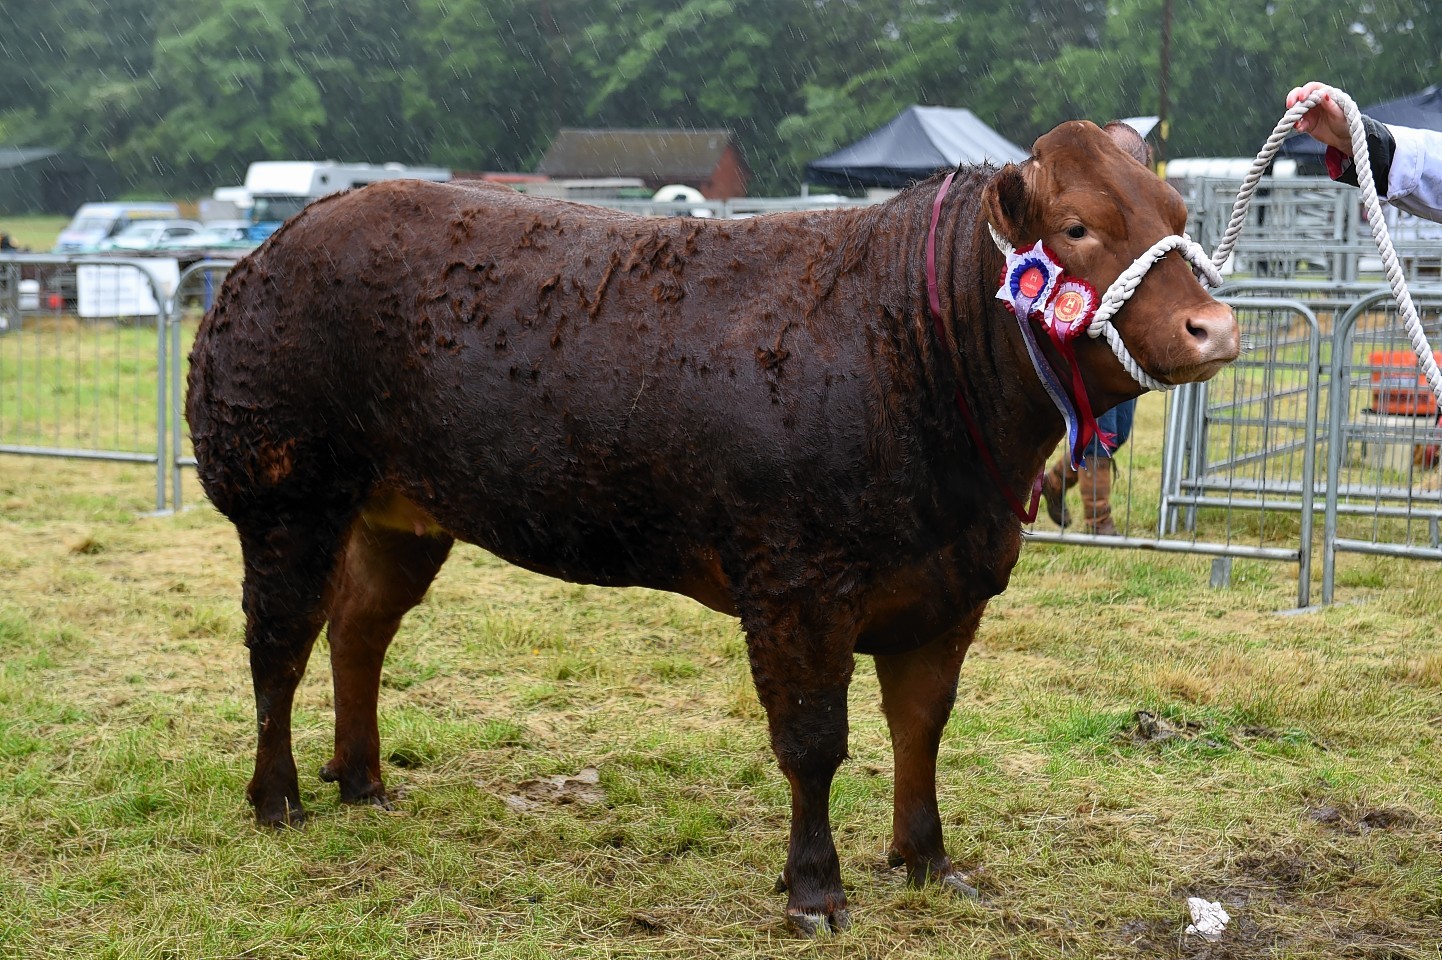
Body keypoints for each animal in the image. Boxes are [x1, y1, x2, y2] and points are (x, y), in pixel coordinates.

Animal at [186, 121, 1234, 934]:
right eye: (1076, 228)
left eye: (1177, 217)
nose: (1215, 329)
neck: (907, 348)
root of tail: (269, 251)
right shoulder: (795, 588)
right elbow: (813, 743)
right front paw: (815, 891)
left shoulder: (949, 589)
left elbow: (921, 728)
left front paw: (930, 862)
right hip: (285, 502)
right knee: (279, 645)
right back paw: (279, 797)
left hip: (400, 517)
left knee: (359, 630)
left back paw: (362, 777)